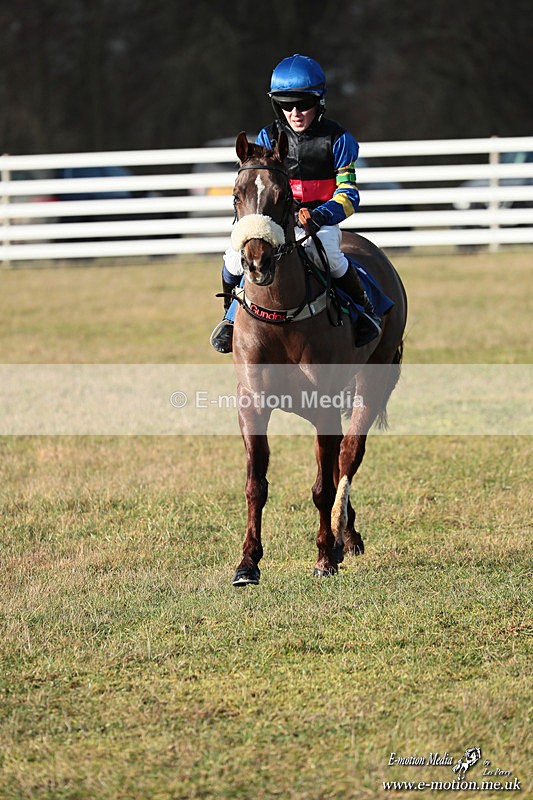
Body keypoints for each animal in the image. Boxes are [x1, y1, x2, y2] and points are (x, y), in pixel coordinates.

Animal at [228, 131, 407, 586]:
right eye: (237, 195)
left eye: (284, 198)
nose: (255, 261)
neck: (281, 316)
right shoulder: (251, 405)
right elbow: (256, 484)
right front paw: (248, 562)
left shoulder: (323, 403)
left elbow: (324, 486)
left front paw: (326, 555)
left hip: (374, 375)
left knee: (349, 454)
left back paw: (344, 536)